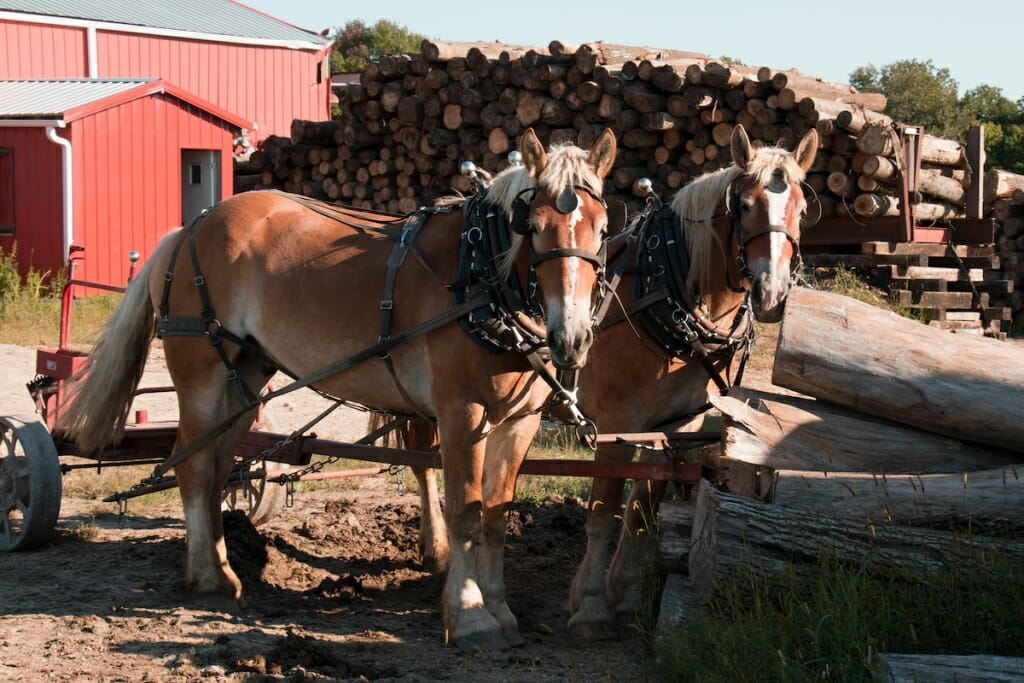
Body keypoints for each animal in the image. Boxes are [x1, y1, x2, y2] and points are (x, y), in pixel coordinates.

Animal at [61, 129, 614, 651]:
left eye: (603, 229)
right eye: (532, 227)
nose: (572, 338)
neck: (480, 276)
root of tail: (188, 228)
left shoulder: (520, 420)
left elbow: (497, 515)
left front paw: (500, 610)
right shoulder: (461, 412)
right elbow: (465, 512)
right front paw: (470, 617)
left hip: (245, 378)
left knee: (221, 466)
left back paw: (218, 565)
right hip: (201, 369)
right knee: (194, 466)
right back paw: (210, 579)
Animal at [382, 121, 815, 634]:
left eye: (801, 210)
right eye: (745, 204)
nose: (773, 294)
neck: (662, 289)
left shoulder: (676, 426)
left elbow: (642, 510)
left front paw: (623, 595)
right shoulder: (617, 423)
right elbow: (605, 512)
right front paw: (589, 604)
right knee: (424, 461)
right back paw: (439, 551)